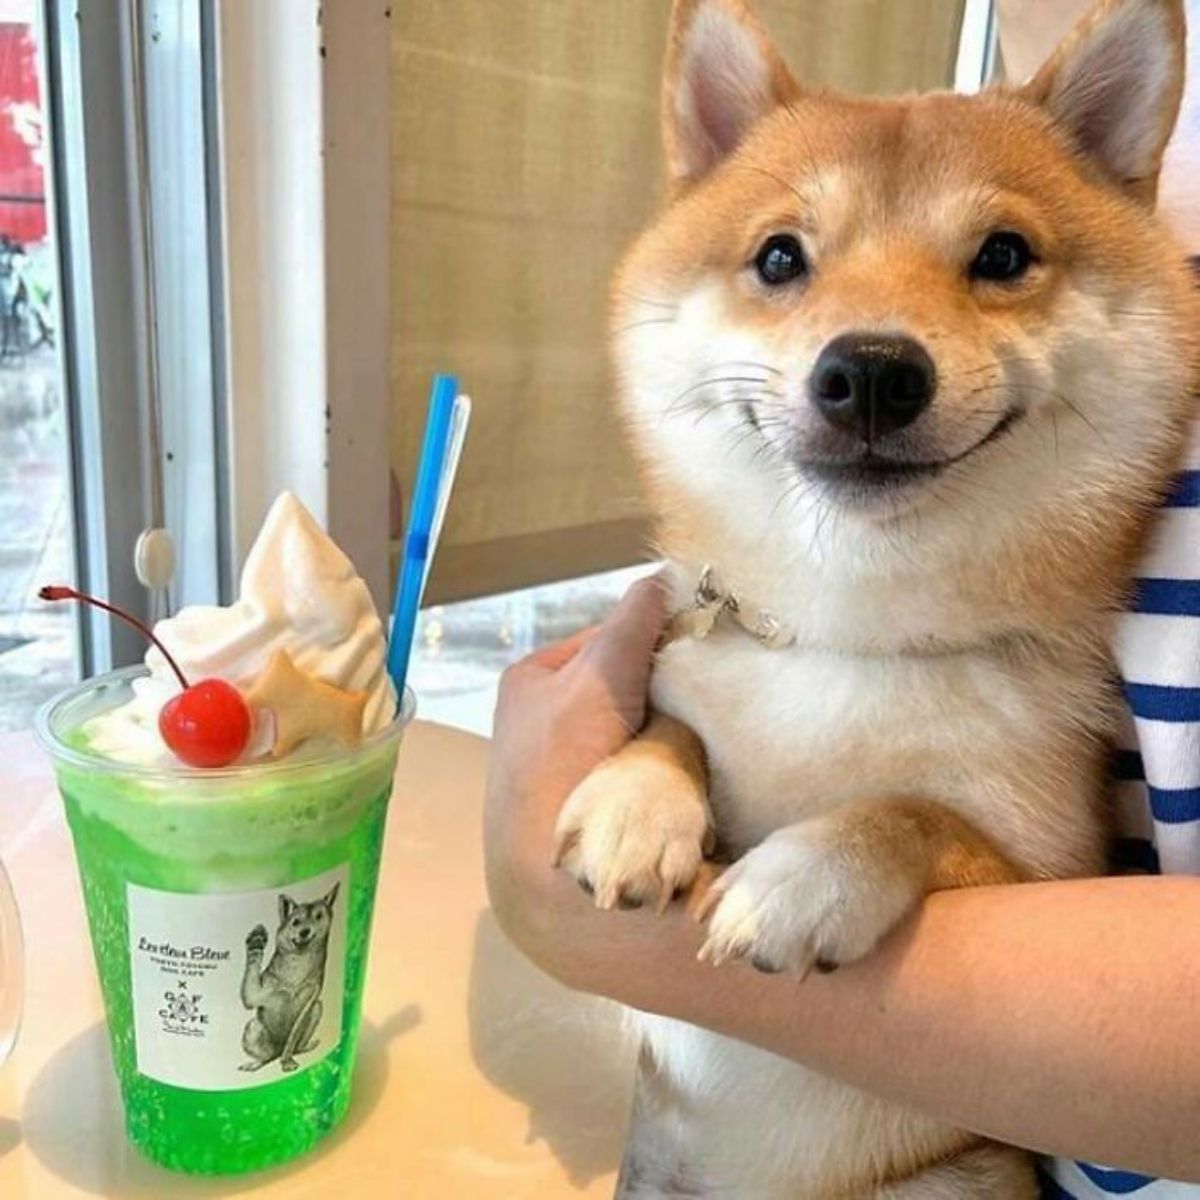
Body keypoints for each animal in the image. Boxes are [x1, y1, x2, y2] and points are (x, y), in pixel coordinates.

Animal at [552, 0, 1200, 1195]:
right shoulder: (689, 663)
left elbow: (917, 813)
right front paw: (636, 801)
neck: (850, 638)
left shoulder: (1045, 870)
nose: (869, 373)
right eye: (779, 256)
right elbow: (673, 727)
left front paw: (805, 876)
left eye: (1003, 256)